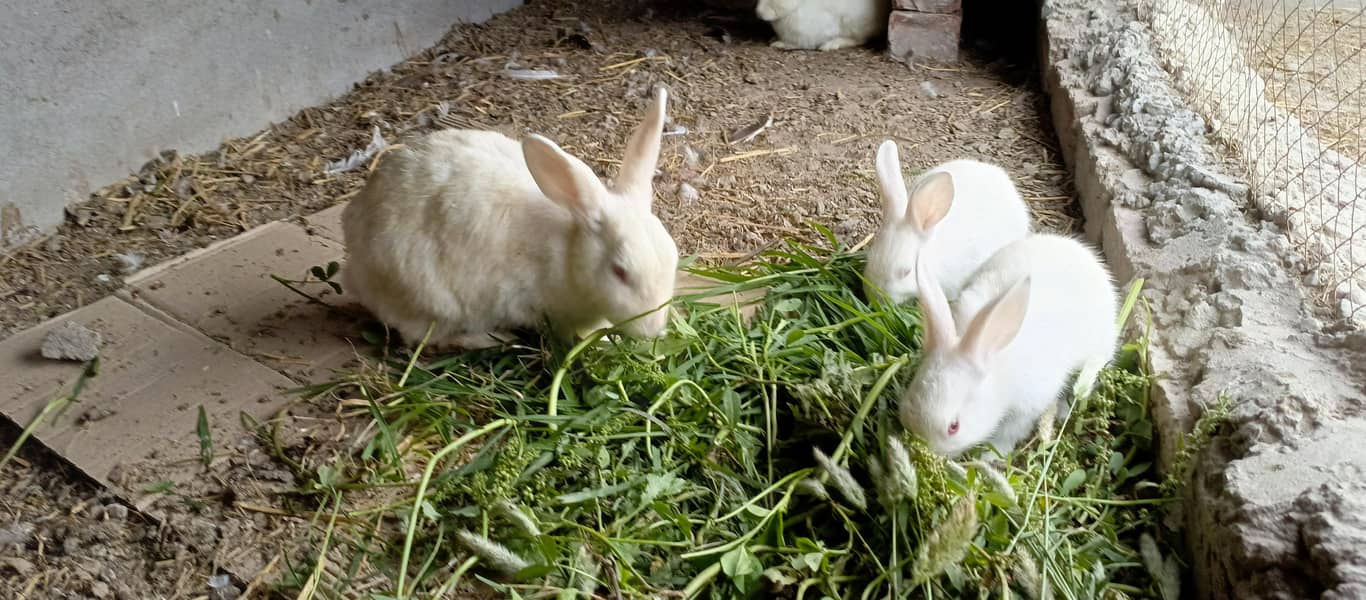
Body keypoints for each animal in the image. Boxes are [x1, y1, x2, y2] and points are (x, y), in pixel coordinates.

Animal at [340, 88, 679, 350]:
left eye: (674, 259)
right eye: (620, 271)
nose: (653, 331)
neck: (569, 250)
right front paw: (605, 341)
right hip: (430, 302)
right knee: (423, 336)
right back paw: (491, 338)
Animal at [898, 233, 1119, 457]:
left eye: (954, 426)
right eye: (907, 405)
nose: (923, 453)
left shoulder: (1026, 410)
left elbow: (1009, 434)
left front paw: (990, 455)